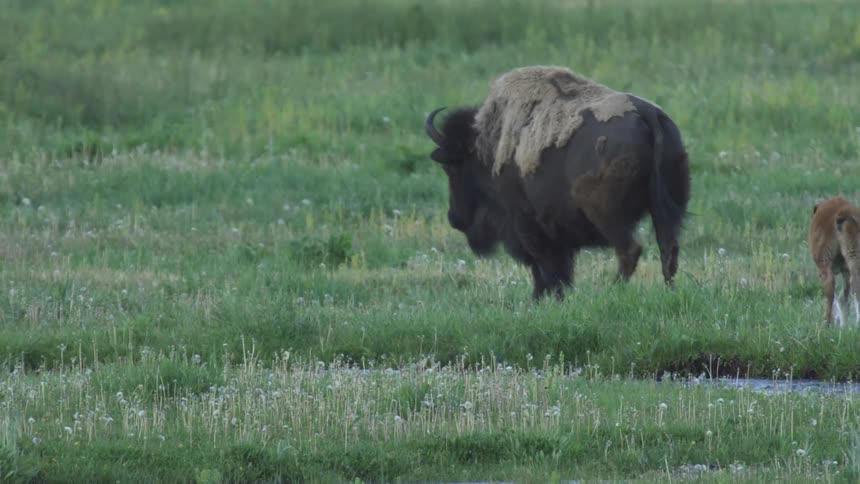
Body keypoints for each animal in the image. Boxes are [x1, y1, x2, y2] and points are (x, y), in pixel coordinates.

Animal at [424, 66, 690, 300]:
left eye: (450, 167)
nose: (454, 218)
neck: (488, 148)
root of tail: (649, 114)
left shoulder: (526, 224)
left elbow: (545, 268)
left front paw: (543, 299)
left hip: (608, 218)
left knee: (630, 250)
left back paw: (611, 290)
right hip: (665, 211)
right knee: (668, 251)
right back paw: (668, 291)